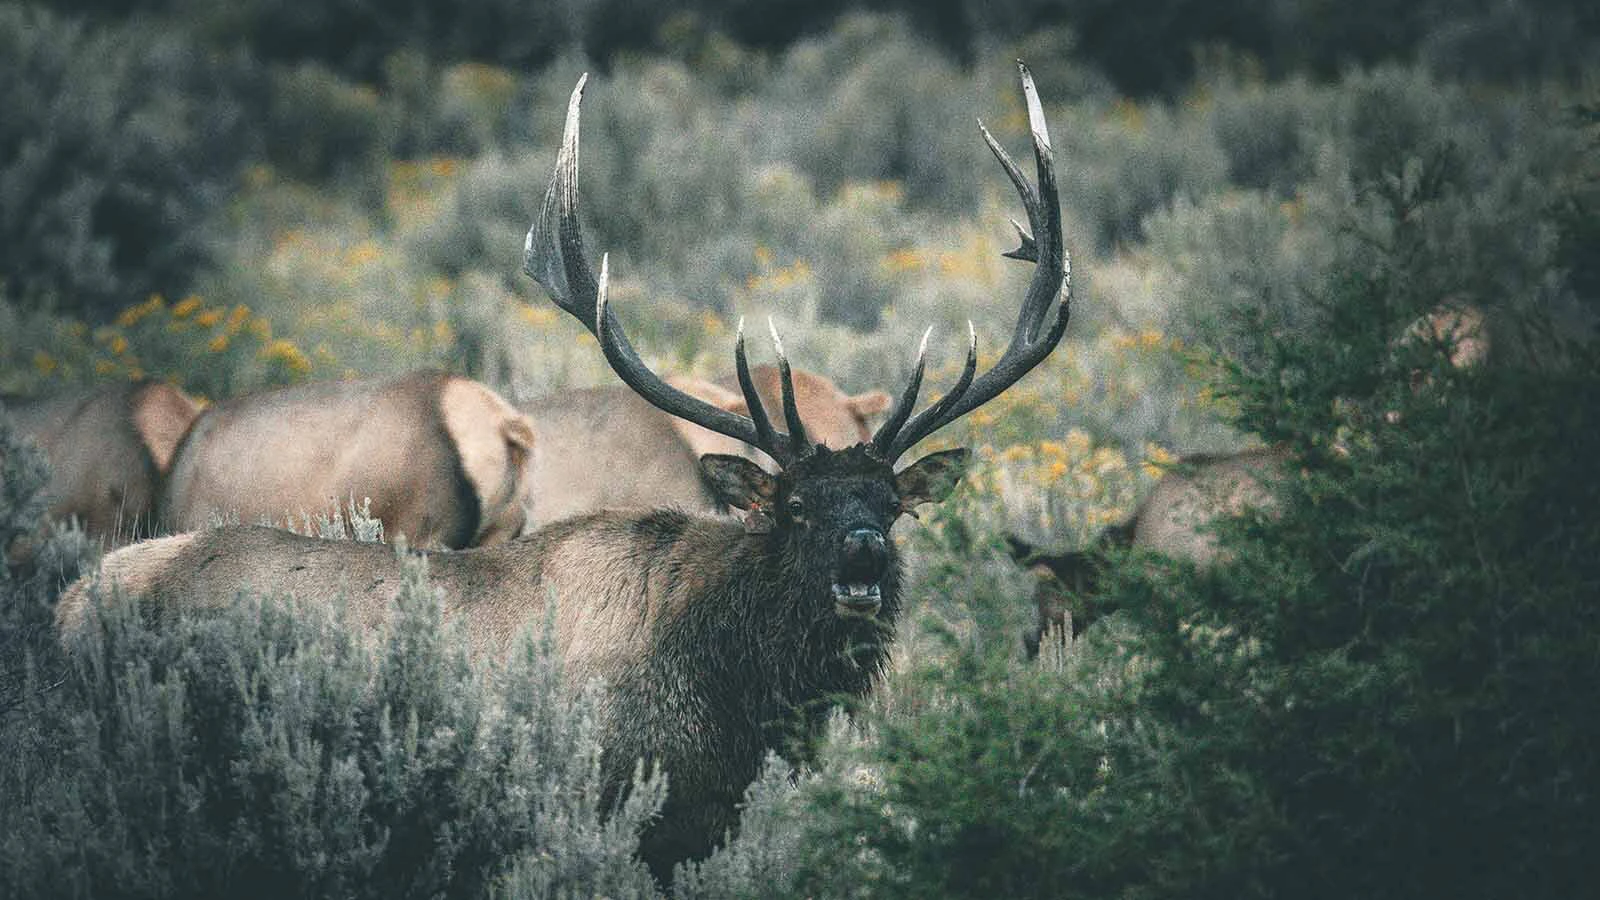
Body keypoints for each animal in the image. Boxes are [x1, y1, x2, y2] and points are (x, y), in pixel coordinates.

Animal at [59, 63, 1071, 881]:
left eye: (891, 504)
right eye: (793, 506)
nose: (862, 554)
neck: (733, 697)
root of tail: (71, 603)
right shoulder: (632, 806)